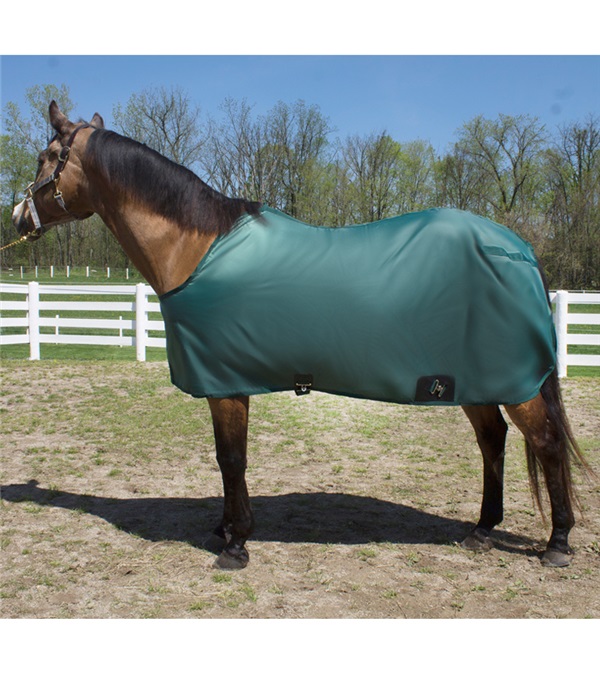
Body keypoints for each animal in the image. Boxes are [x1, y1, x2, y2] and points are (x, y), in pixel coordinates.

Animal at [12, 101, 590, 570]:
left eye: (47, 155)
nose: (17, 216)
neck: (197, 249)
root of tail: (518, 248)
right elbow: (227, 460)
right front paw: (227, 528)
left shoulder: (225, 385)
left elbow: (231, 458)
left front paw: (236, 544)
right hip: (469, 382)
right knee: (493, 441)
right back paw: (482, 530)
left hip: (513, 383)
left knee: (545, 443)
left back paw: (557, 543)